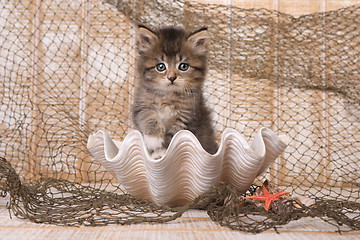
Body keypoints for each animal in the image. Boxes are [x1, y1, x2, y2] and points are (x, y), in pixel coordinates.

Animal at [131, 25, 218, 158]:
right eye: (161, 67)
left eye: (183, 66)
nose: (171, 77)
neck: (168, 96)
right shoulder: (141, 105)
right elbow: (149, 117)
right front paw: (153, 139)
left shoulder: (187, 117)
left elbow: (173, 137)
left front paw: (162, 152)